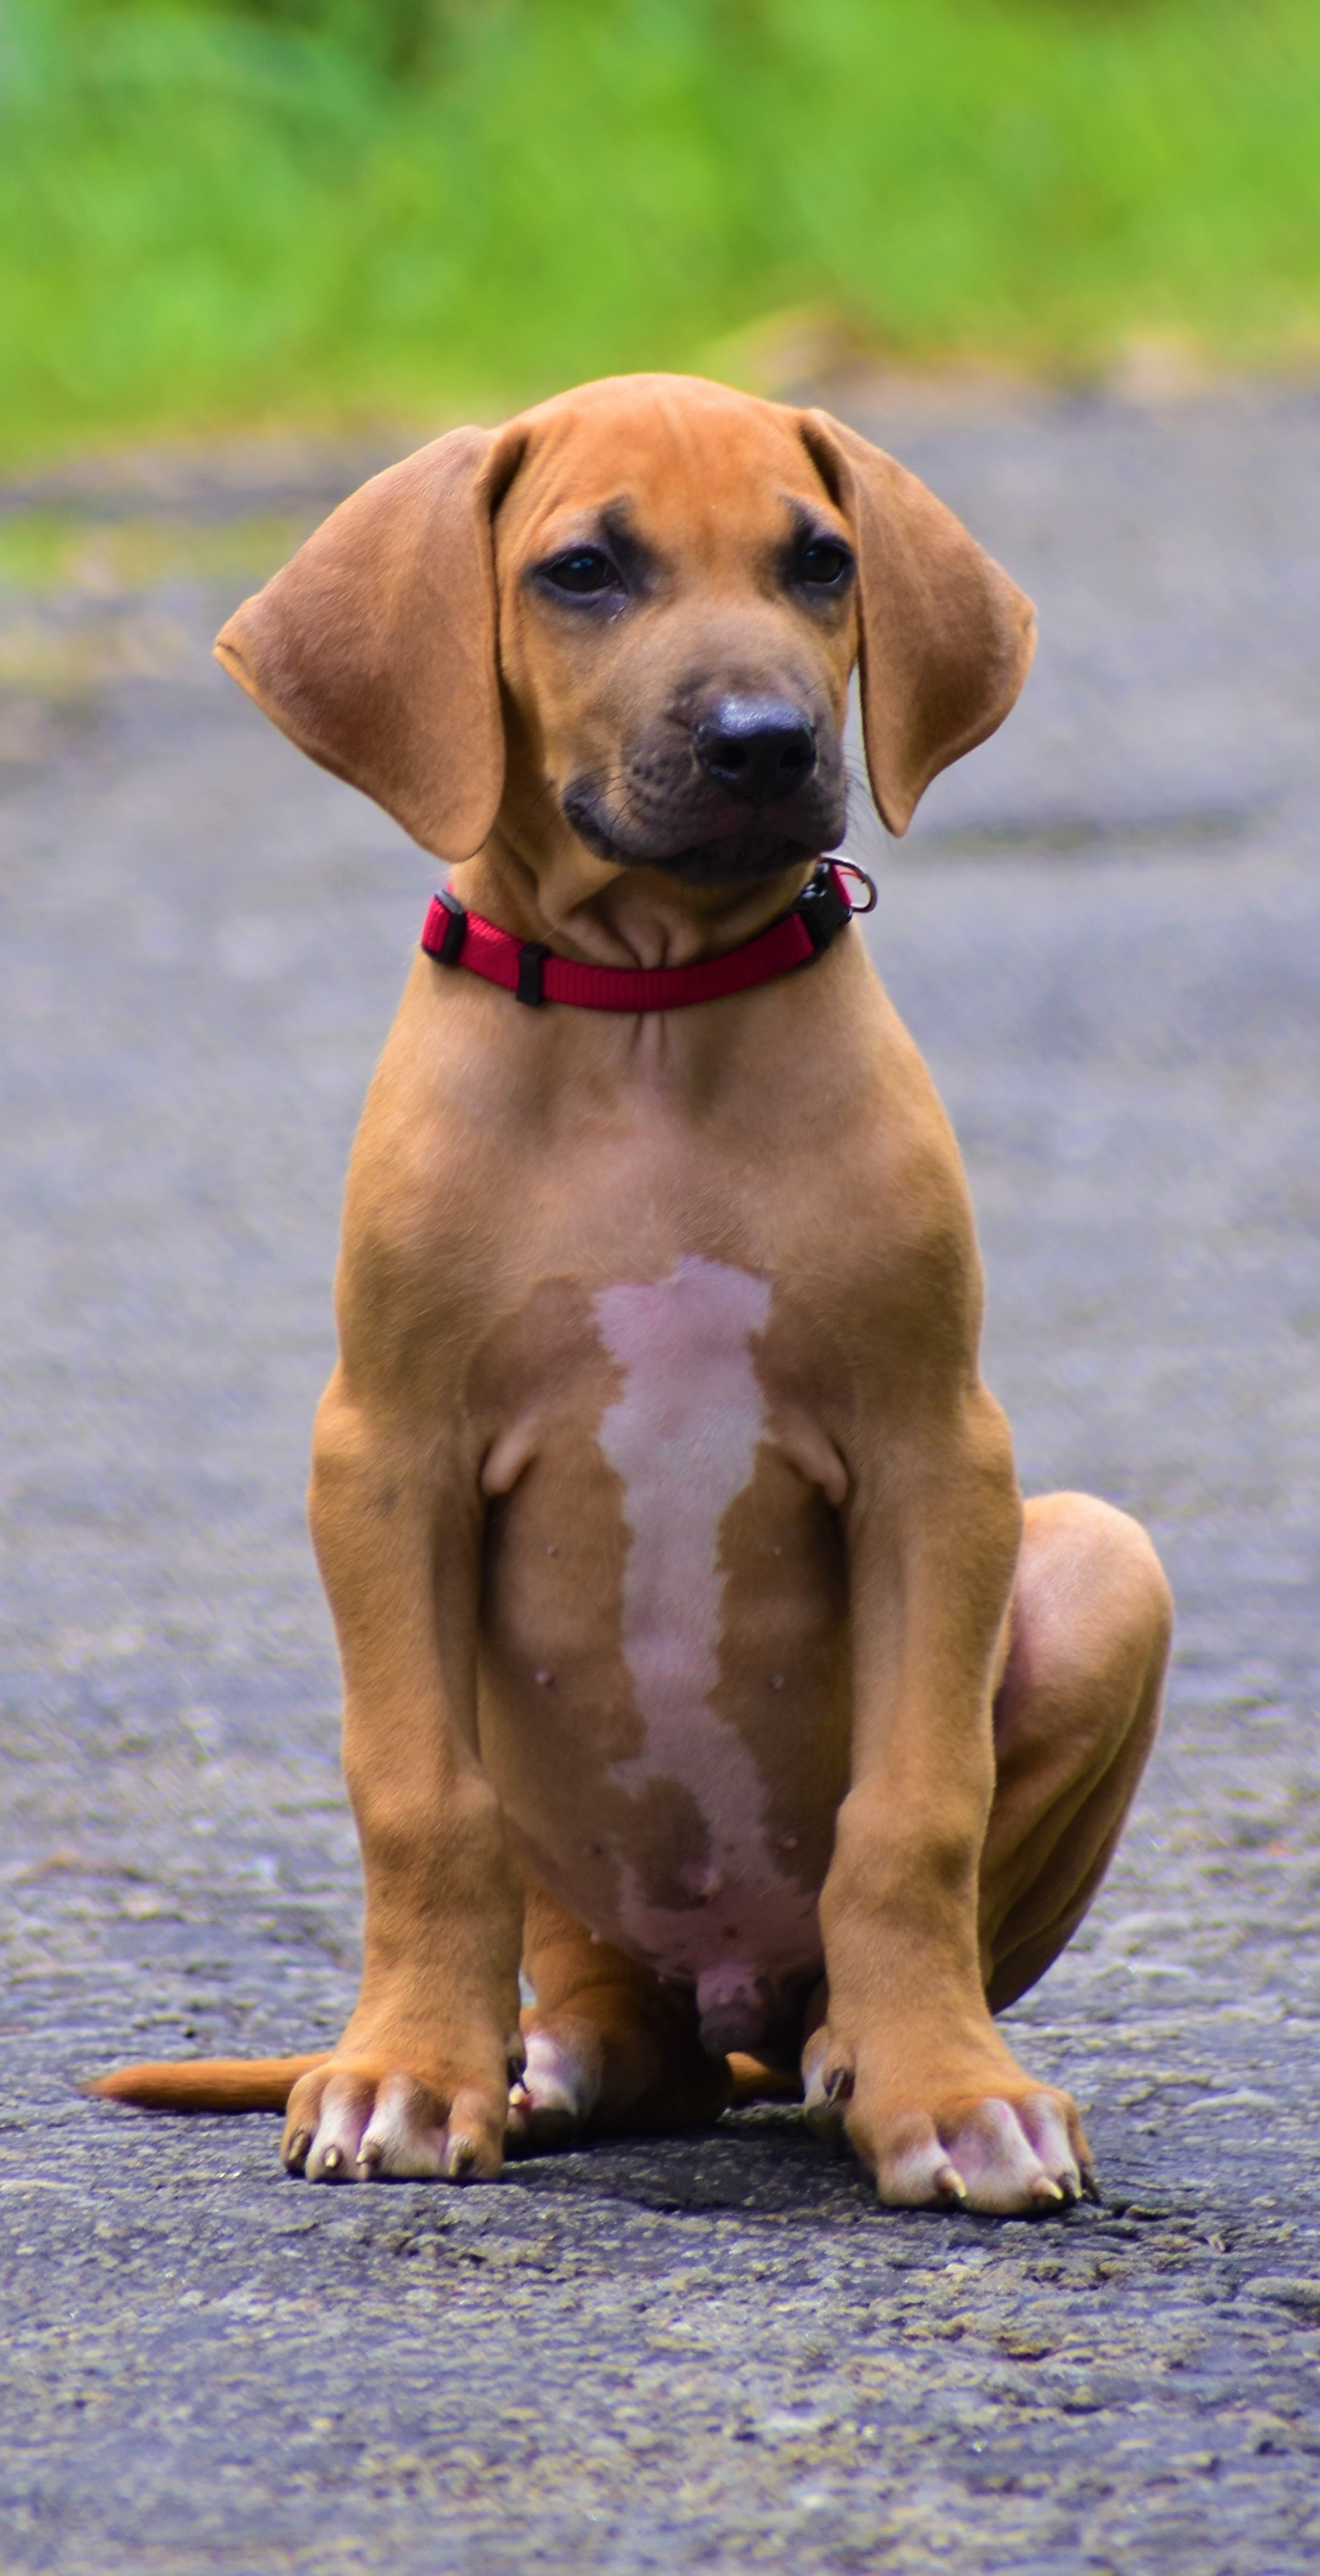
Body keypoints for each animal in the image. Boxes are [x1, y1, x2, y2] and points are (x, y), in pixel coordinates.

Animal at [95, 373, 1173, 2205]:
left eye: (820, 562)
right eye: (582, 570)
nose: (763, 740)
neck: (648, 1016)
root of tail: (718, 1998)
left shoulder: (932, 1450)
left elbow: (914, 1810)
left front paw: (951, 2090)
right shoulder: (382, 1456)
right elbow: (417, 1800)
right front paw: (405, 2074)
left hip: (1105, 1561)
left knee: (823, 1975)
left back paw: (849, 2046)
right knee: (601, 1993)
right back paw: (539, 2061)